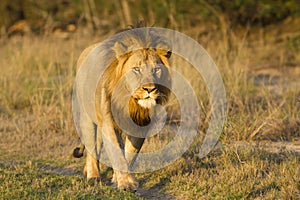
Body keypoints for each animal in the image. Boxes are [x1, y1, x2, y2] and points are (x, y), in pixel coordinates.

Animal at [71, 23, 172, 191]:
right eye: (136, 69)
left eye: (156, 69)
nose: (150, 89)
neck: (130, 103)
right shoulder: (110, 123)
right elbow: (118, 154)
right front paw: (126, 183)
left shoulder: (141, 126)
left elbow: (130, 154)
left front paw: (117, 179)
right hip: (87, 116)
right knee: (91, 147)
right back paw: (93, 176)